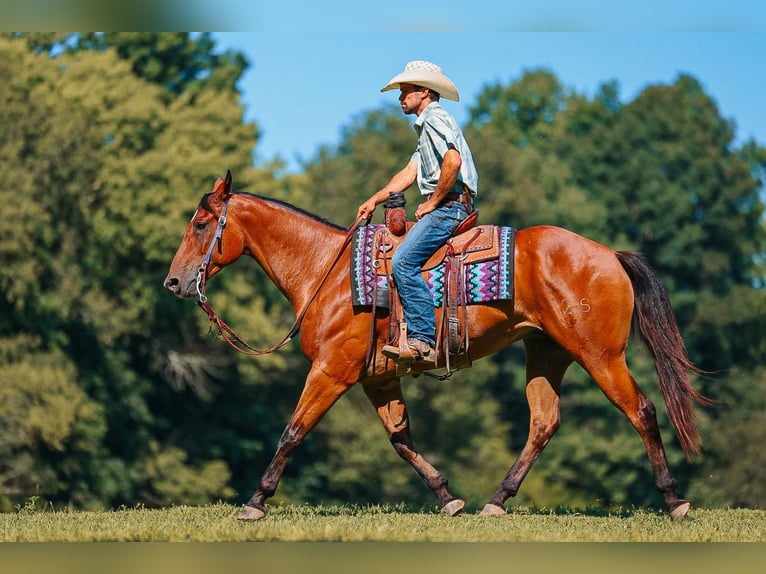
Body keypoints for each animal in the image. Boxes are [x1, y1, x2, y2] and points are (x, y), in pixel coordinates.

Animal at [164, 171, 712, 521]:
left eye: (200, 225)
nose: (173, 282)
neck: (328, 273)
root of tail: (610, 256)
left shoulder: (331, 371)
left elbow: (292, 432)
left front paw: (255, 503)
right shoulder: (377, 378)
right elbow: (402, 440)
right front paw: (448, 496)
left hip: (599, 355)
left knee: (641, 409)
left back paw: (675, 502)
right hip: (546, 352)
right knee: (544, 422)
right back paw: (496, 500)